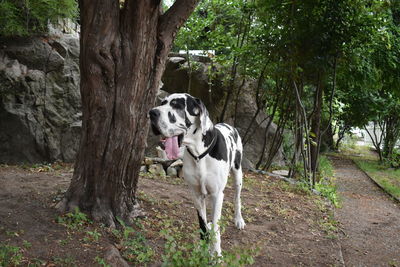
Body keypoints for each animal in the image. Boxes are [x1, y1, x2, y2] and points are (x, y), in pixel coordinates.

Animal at [149, 93, 245, 256]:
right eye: (162, 103)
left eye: (177, 105)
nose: (151, 113)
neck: (199, 154)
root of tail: (229, 125)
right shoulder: (196, 195)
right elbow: (202, 225)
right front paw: (203, 249)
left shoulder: (217, 194)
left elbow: (216, 229)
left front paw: (216, 255)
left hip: (238, 175)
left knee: (237, 198)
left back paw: (238, 219)